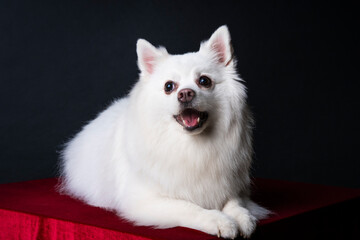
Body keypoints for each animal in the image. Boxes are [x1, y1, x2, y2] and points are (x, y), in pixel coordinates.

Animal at [59, 25, 268, 239]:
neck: (191, 145)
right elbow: (189, 207)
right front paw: (219, 220)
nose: (185, 93)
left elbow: (235, 203)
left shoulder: (234, 188)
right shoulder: (147, 201)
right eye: (169, 86)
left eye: (204, 81)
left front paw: (244, 218)